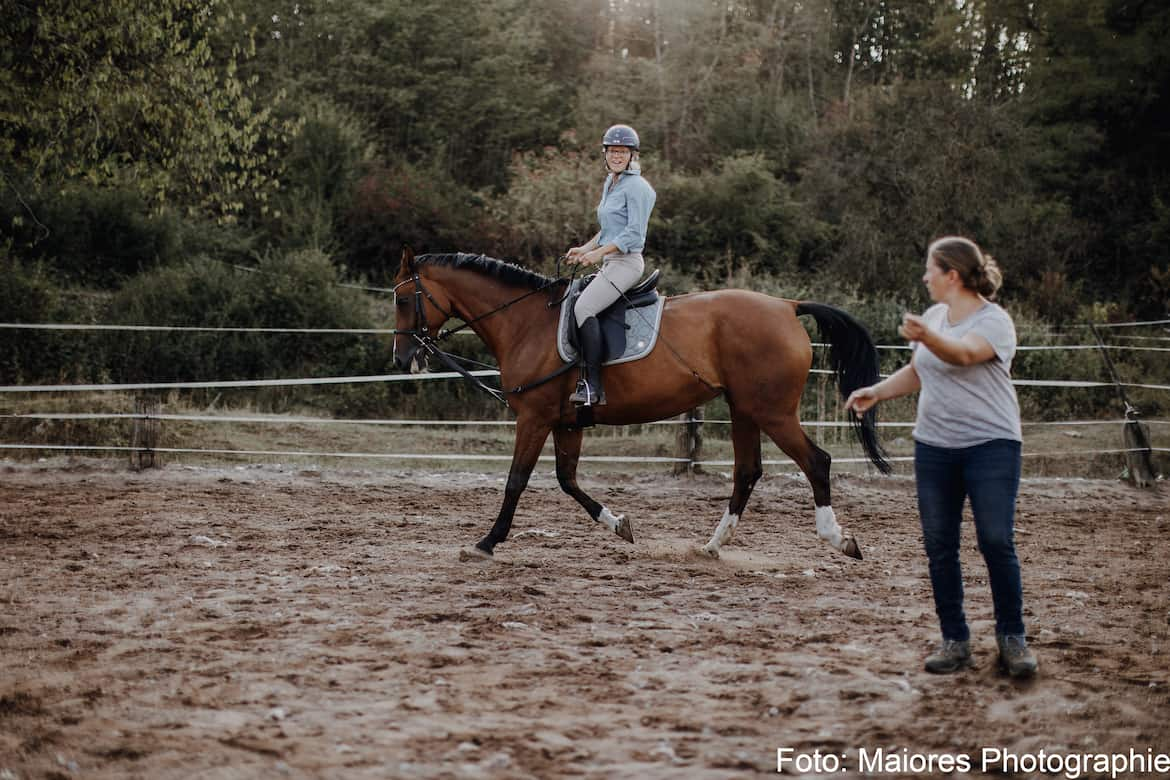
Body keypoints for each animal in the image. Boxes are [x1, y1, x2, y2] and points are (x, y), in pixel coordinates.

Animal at [390, 250, 884, 561]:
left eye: (403, 298)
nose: (402, 359)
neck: (525, 324)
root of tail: (786, 305)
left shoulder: (534, 417)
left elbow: (516, 481)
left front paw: (487, 543)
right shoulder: (568, 423)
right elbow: (567, 480)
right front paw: (619, 524)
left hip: (773, 412)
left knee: (816, 462)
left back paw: (839, 539)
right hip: (744, 409)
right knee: (747, 472)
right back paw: (712, 547)